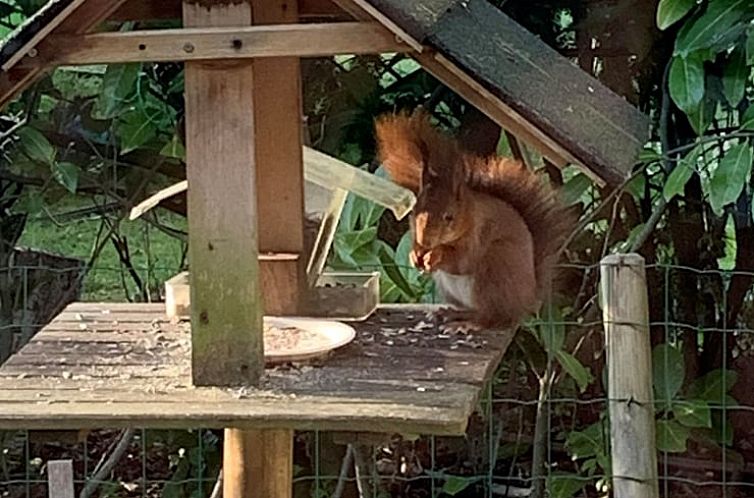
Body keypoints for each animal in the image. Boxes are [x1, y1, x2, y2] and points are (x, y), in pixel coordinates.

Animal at [374, 110, 572, 328]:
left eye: (449, 217)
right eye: (415, 210)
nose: (425, 242)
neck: (468, 214)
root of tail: (526, 302)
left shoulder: (478, 234)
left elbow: (462, 261)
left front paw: (434, 255)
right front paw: (414, 254)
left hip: (494, 270)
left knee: (489, 317)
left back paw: (468, 324)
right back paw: (449, 313)